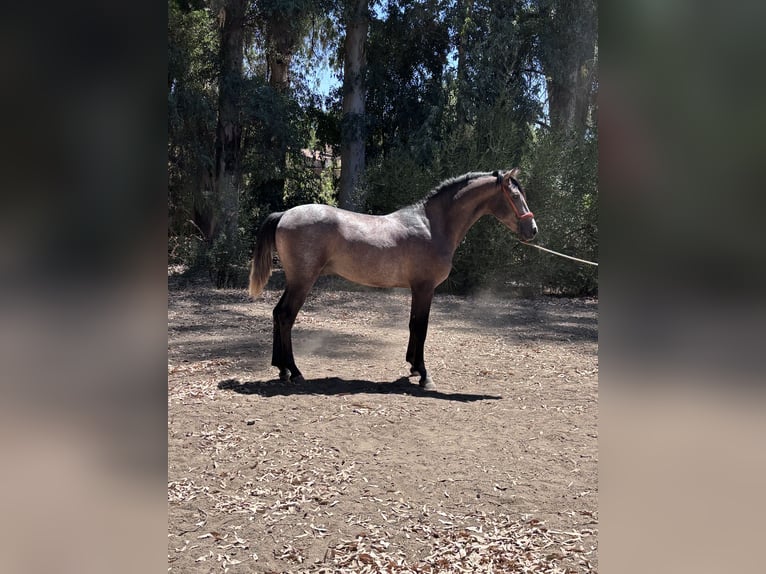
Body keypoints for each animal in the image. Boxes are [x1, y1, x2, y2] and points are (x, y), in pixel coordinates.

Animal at [248, 168, 537, 390]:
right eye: (514, 196)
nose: (532, 230)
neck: (432, 225)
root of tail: (284, 215)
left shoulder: (417, 289)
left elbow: (413, 325)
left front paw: (413, 367)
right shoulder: (424, 288)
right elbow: (421, 327)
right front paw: (424, 375)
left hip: (296, 282)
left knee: (277, 314)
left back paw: (282, 369)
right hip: (302, 281)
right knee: (286, 316)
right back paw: (294, 371)